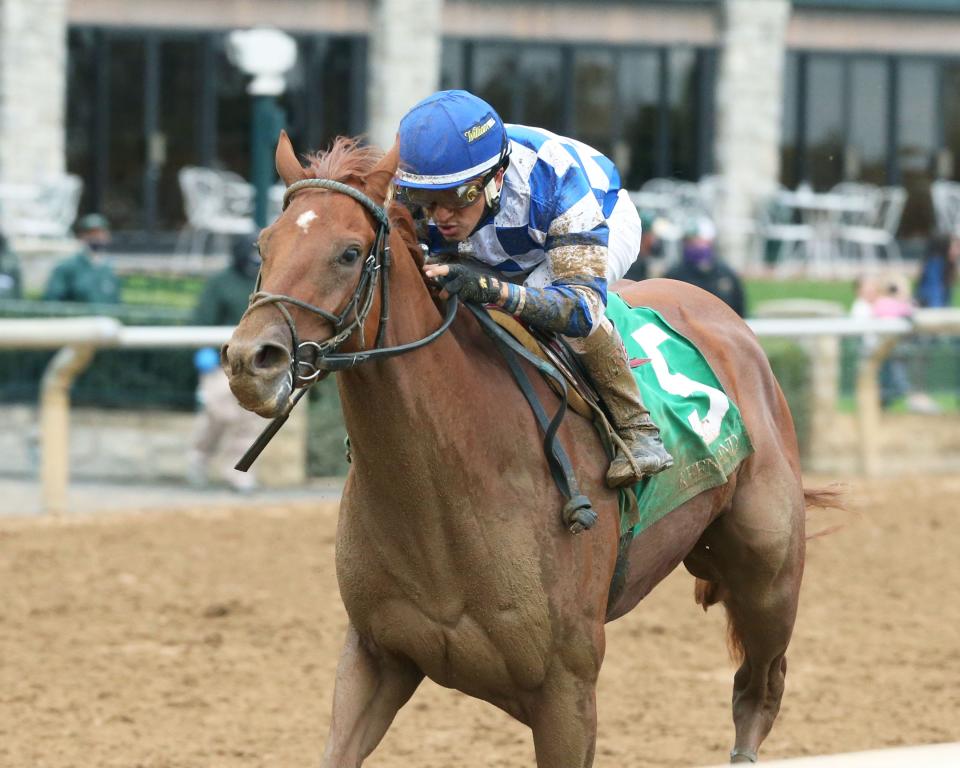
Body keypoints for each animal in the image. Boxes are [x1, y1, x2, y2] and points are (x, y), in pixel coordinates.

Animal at [223, 135, 808, 764]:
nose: (249, 361)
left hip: (769, 577)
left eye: (350, 253)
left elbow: (577, 303)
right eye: (263, 244)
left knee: (760, 689)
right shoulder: (378, 655)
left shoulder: (568, 689)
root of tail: (726, 316)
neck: (440, 491)